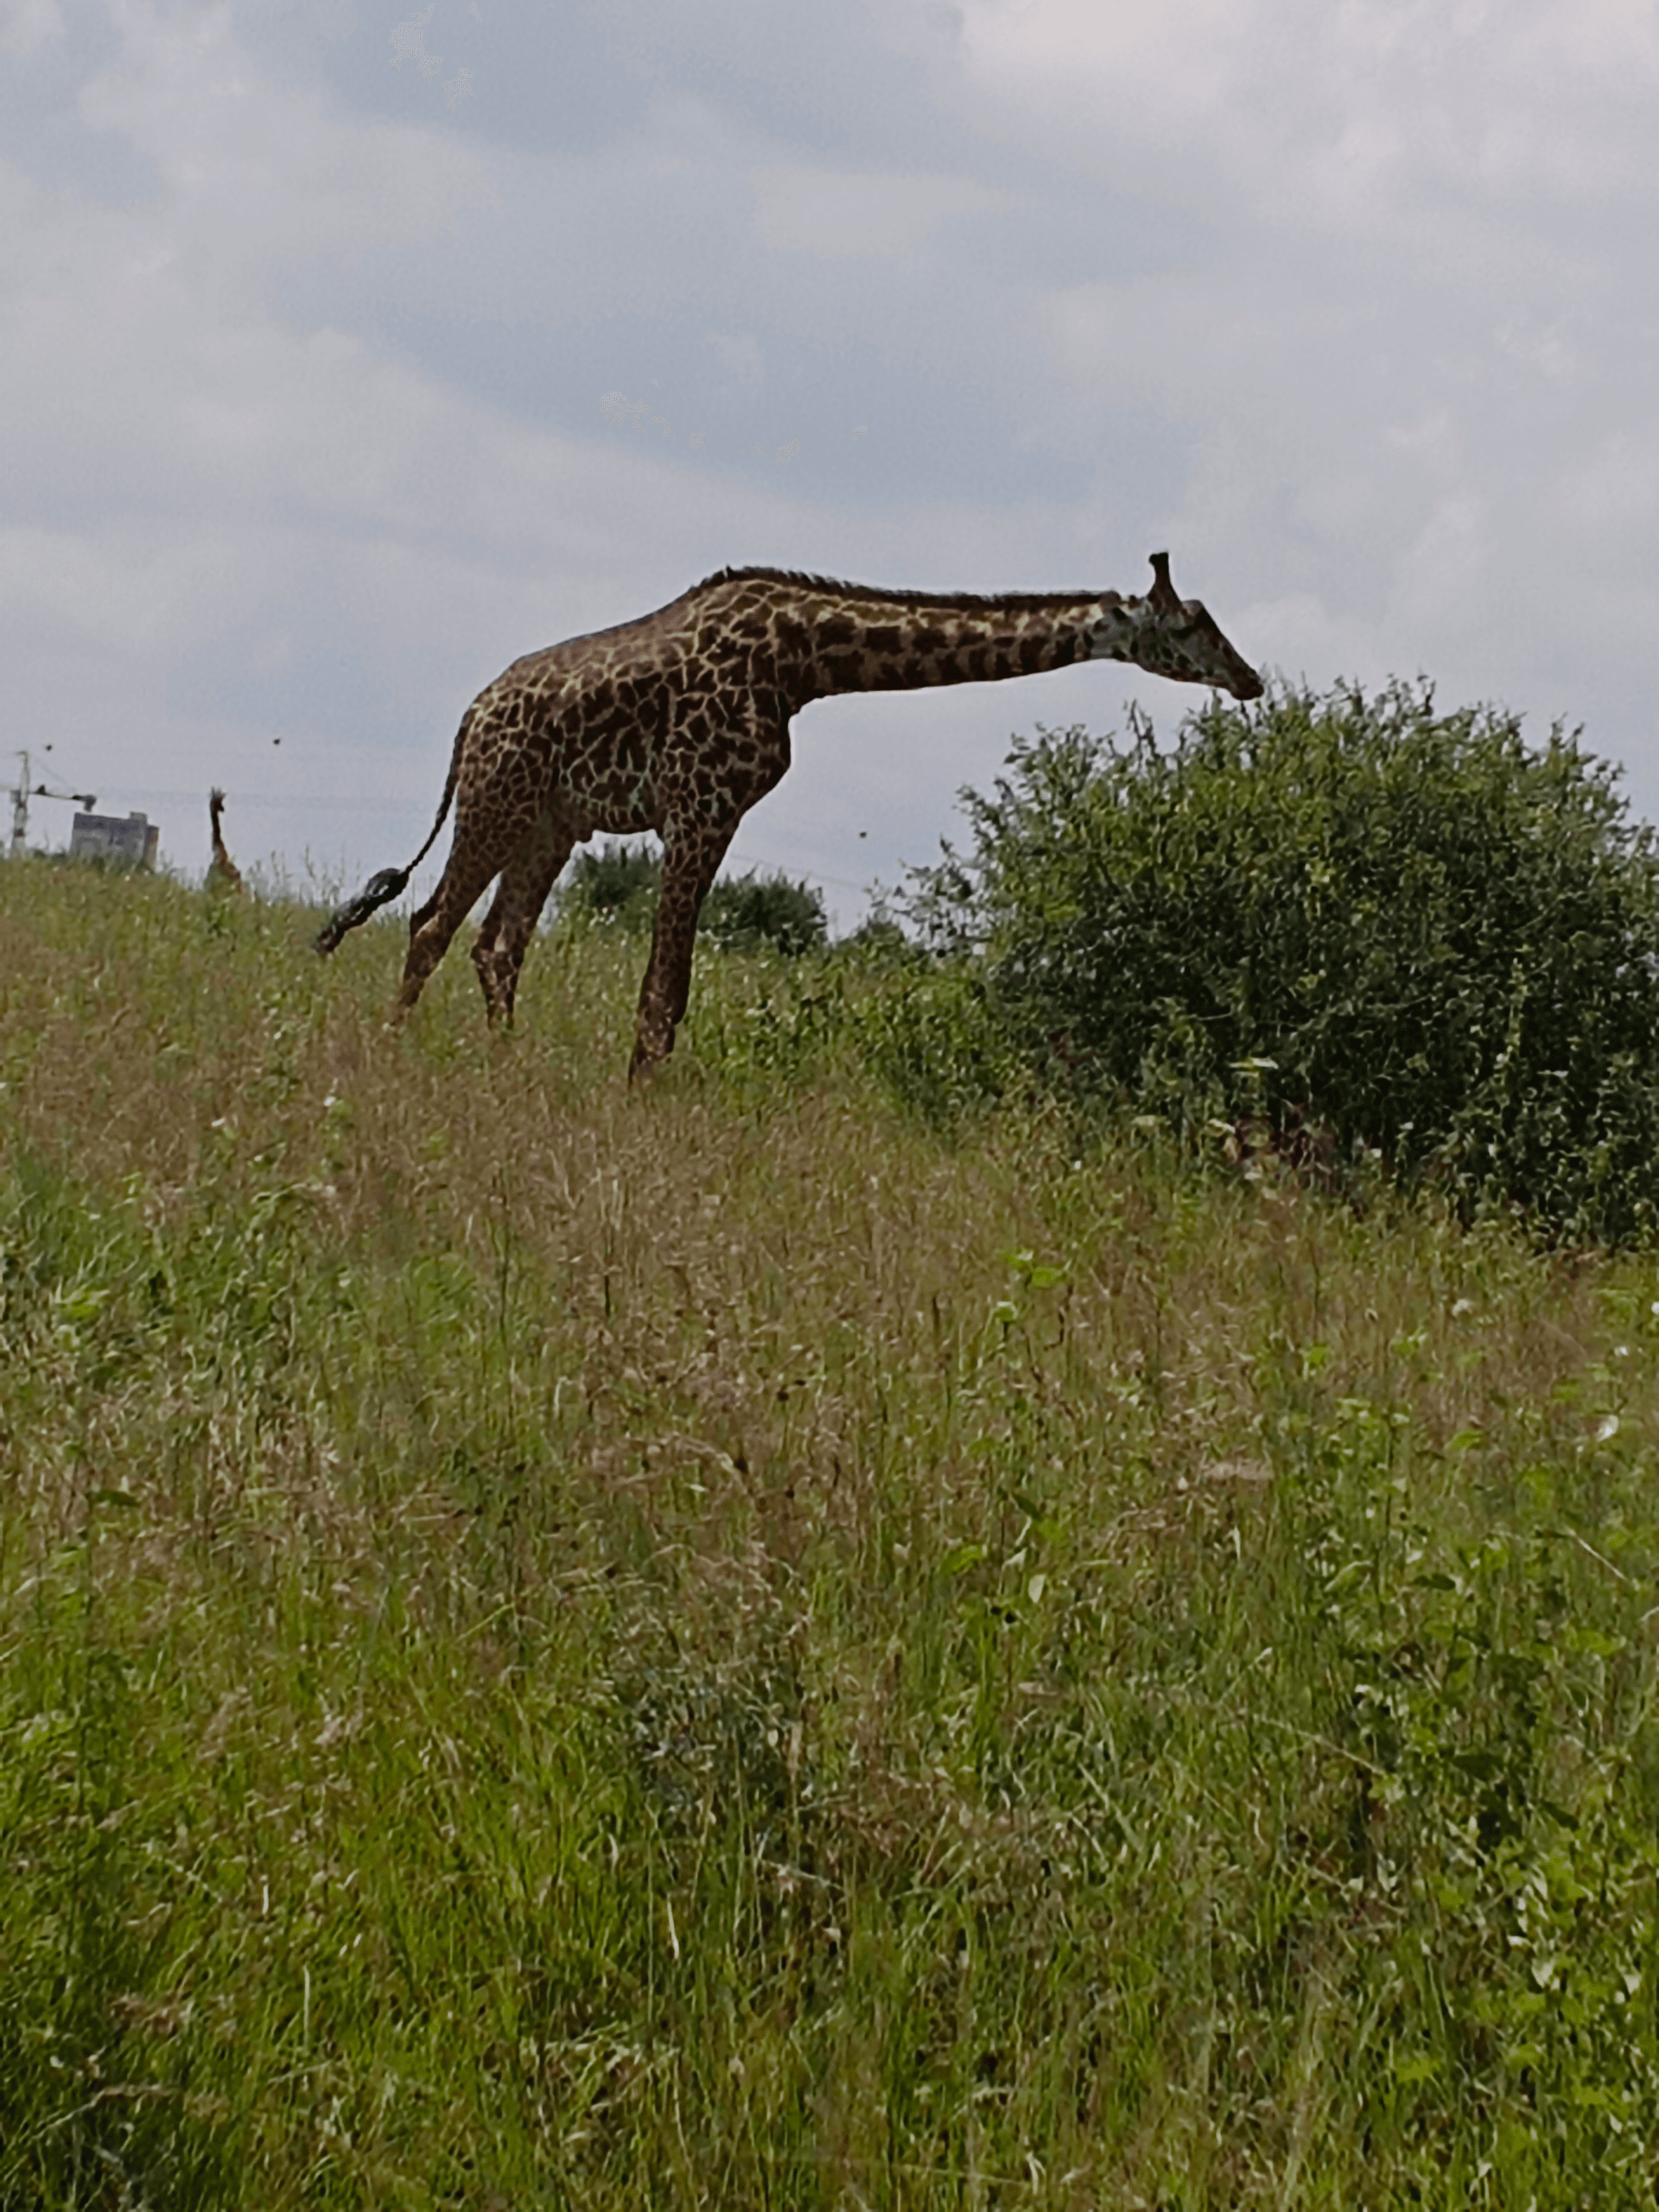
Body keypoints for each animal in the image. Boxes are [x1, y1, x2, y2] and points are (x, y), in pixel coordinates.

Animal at [316, 553, 1262, 1079]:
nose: (1250, 678)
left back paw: (503, 1066)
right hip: (498, 802)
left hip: (552, 822)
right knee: (432, 925)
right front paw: (638, 1105)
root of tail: (469, 716)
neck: (806, 661)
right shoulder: (700, 806)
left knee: (495, 946)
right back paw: (394, 1052)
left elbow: (661, 988)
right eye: (1188, 626)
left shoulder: (712, 813)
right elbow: (663, 993)